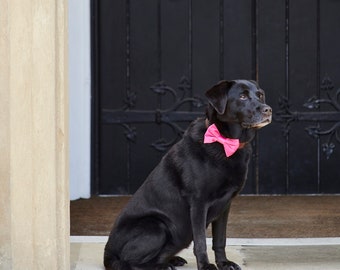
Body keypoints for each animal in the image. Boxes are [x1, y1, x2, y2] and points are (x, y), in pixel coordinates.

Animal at [103, 80, 270, 270]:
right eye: (242, 96)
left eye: (260, 95)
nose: (268, 110)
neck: (226, 141)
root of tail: (108, 253)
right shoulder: (198, 202)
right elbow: (200, 242)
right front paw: (205, 266)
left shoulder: (225, 204)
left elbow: (220, 239)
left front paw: (224, 263)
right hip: (156, 226)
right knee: (128, 261)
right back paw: (162, 266)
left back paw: (171, 260)